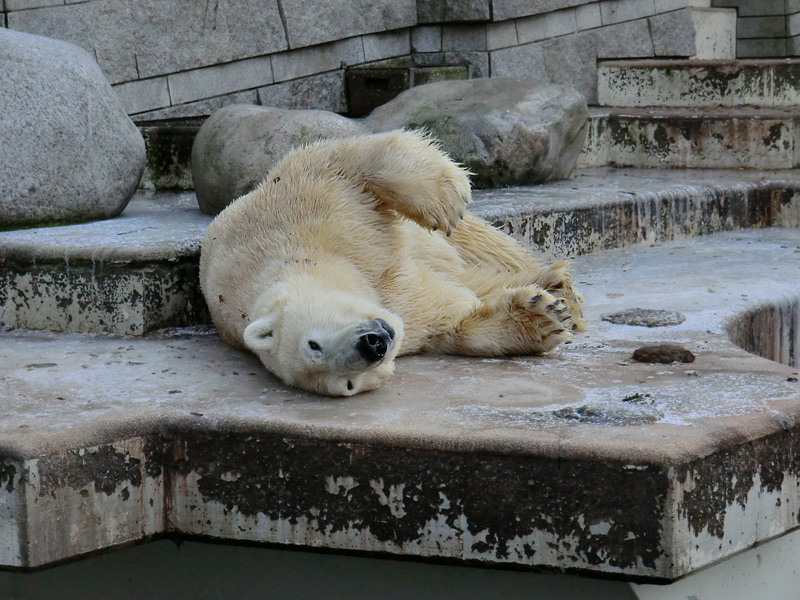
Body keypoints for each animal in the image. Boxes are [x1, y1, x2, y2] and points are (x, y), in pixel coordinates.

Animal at [202, 129, 580, 396]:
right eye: (349, 383)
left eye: (313, 344)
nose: (373, 345)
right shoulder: (409, 317)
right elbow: (455, 320)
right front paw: (541, 317)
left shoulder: (285, 214)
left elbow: (347, 164)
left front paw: (447, 198)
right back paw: (559, 293)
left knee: (483, 244)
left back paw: (559, 283)